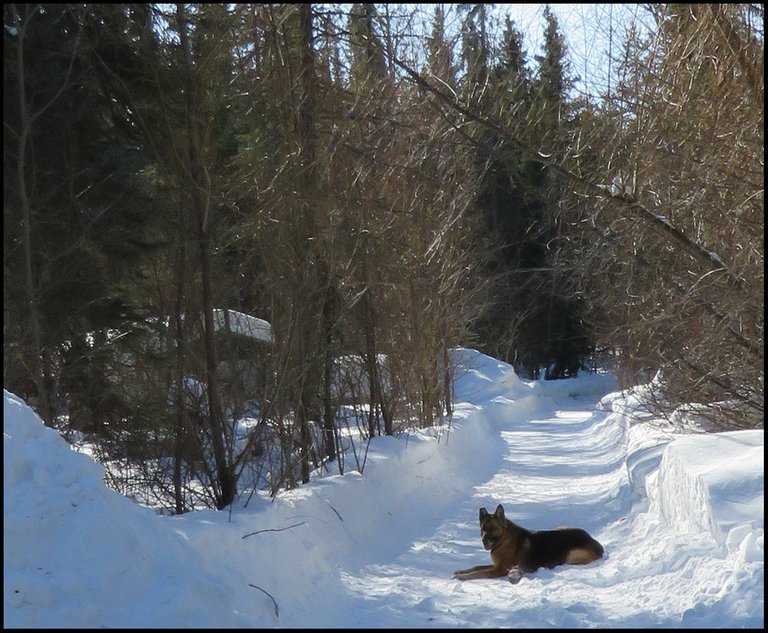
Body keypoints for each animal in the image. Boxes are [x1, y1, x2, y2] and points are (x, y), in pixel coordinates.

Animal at [452, 502, 604, 584]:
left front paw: (461, 577)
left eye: (493, 529)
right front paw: (461, 571)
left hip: (572, 555)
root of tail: (594, 540)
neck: (504, 539)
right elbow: (477, 567)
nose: (484, 541)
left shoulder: (498, 570)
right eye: (482, 528)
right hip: (561, 527)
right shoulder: (496, 566)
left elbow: (479, 573)